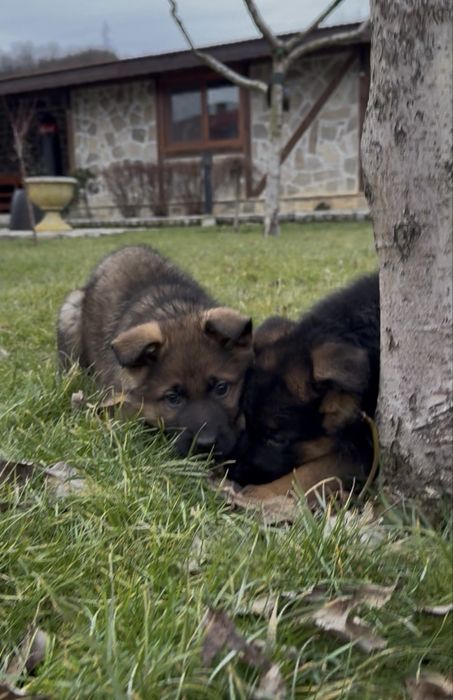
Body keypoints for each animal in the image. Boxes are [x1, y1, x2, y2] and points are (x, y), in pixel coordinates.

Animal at [228, 273, 380, 501]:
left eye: (277, 439)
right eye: (247, 422)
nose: (234, 474)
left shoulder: (366, 450)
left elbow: (314, 472)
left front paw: (261, 493)